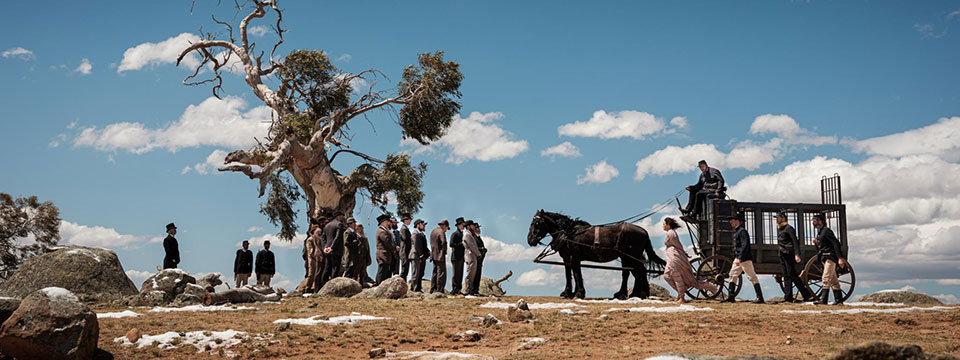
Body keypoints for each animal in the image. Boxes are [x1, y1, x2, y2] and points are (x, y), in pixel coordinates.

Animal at [524, 210, 668, 300]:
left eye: (536, 223)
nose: (530, 240)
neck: (568, 233)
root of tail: (644, 230)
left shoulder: (574, 257)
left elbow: (577, 274)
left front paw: (579, 293)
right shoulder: (566, 258)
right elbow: (568, 275)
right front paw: (567, 292)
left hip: (633, 256)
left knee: (638, 271)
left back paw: (638, 293)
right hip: (627, 257)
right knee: (631, 272)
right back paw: (629, 294)